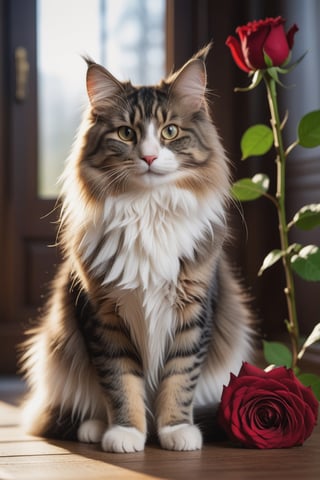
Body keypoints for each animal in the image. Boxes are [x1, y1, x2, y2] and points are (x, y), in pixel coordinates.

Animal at [20, 44, 255, 450]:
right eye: (126, 133)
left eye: (170, 131)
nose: (148, 157)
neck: (148, 211)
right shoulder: (103, 314)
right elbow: (120, 381)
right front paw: (127, 432)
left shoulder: (193, 310)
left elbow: (180, 377)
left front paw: (175, 430)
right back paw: (94, 428)